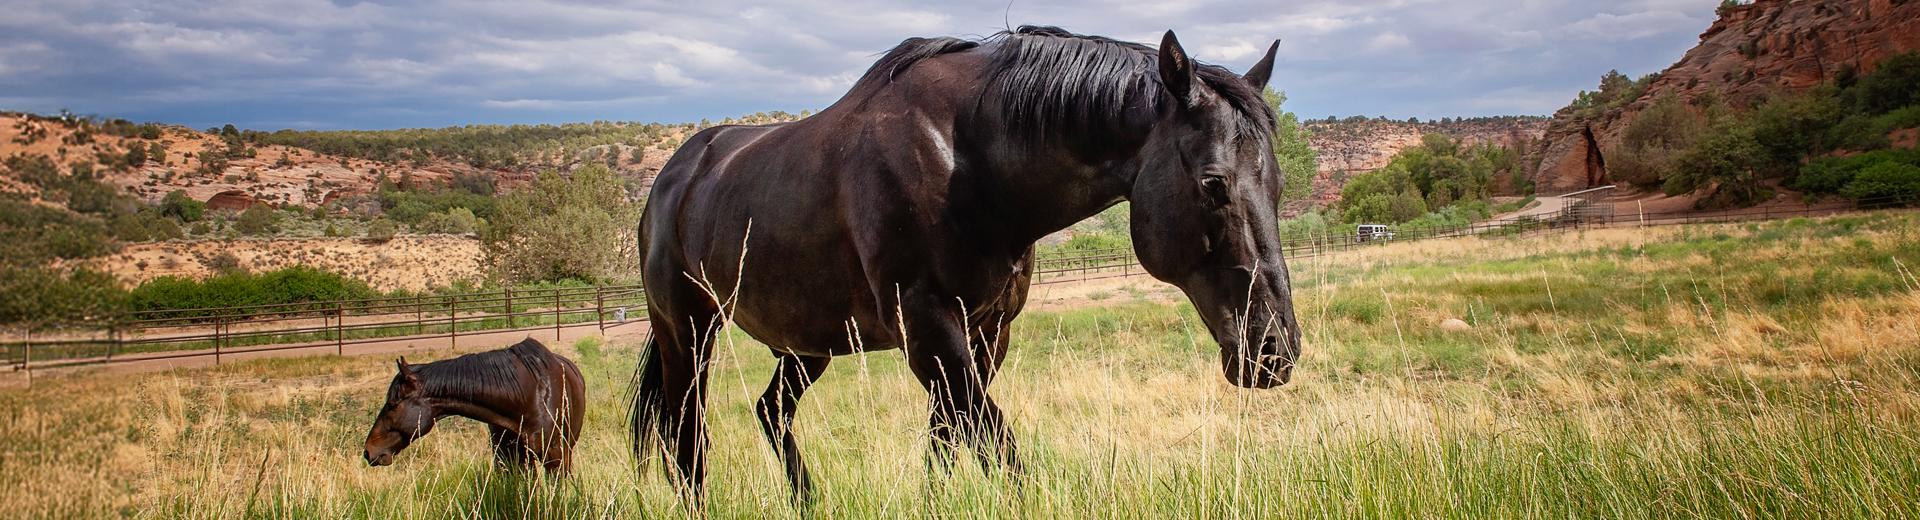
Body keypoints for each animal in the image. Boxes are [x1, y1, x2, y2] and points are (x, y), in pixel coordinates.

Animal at [631, 26, 1302, 502]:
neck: (967, 160)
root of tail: (675, 175)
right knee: (687, 442)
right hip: (688, 333)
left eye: (1276, 185)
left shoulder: (985, 332)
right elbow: (995, 446)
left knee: (770, 414)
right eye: (1214, 184)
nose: (1275, 351)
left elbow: (949, 440)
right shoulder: (928, 326)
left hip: (807, 344)